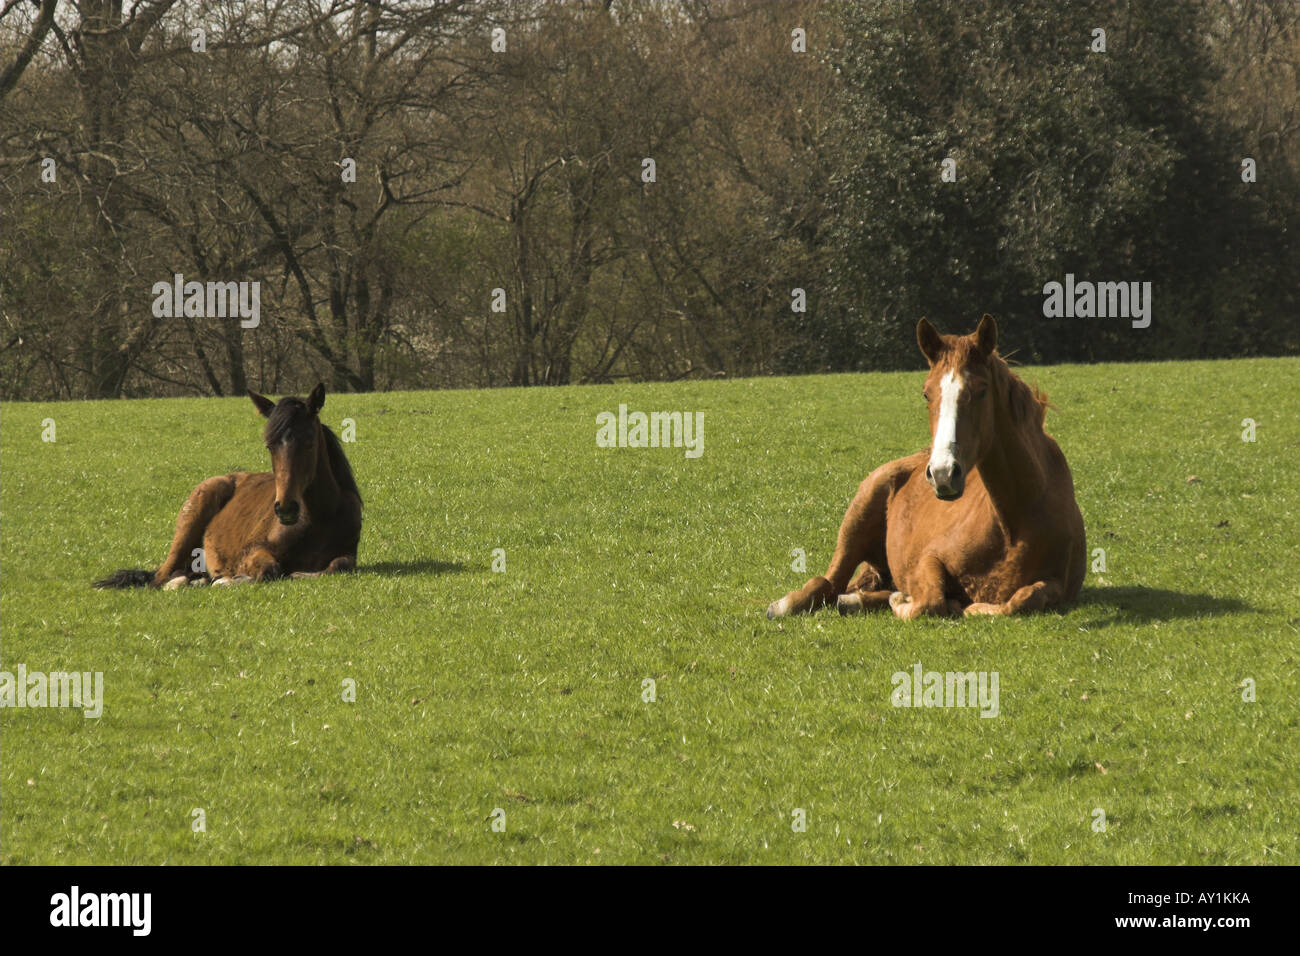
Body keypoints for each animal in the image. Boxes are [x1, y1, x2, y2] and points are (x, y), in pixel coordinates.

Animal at [94, 383, 362, 589]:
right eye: (269, 446)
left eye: (309, 442)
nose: (286, 509)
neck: (318, 516)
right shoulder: (253, 550)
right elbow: (270, 570)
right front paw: (229, 580)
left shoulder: (348, 553)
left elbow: (339, 565)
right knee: (160, 579)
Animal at [767, 315, 1085, 620]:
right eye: (926, 394)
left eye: (982, 391)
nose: (943, 473)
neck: (1015, 521)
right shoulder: (928, 558)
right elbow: (930, 601)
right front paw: (905, 603)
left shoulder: (1062, 584)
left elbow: (1024, 598)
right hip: (856, 521)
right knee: (828, 582)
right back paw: (786, 605)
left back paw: (857, 601)